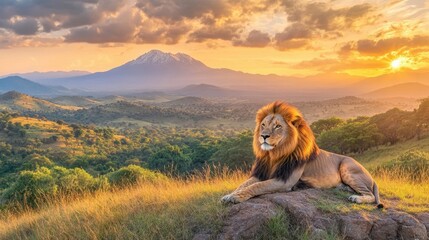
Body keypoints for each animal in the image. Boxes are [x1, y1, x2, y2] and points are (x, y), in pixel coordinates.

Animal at [221, 101, 382, 208]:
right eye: (263, 125)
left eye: (278, 126)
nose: (264, 136)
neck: (274, 155)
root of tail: (372, 177)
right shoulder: (261, 173)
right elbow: (244, 184)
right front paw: (229, 195)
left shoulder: (284, 180)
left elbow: (257, 186)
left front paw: (236, 197)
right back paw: (343, 188)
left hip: (347, 166)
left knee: (371, 195)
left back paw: (356, 198)